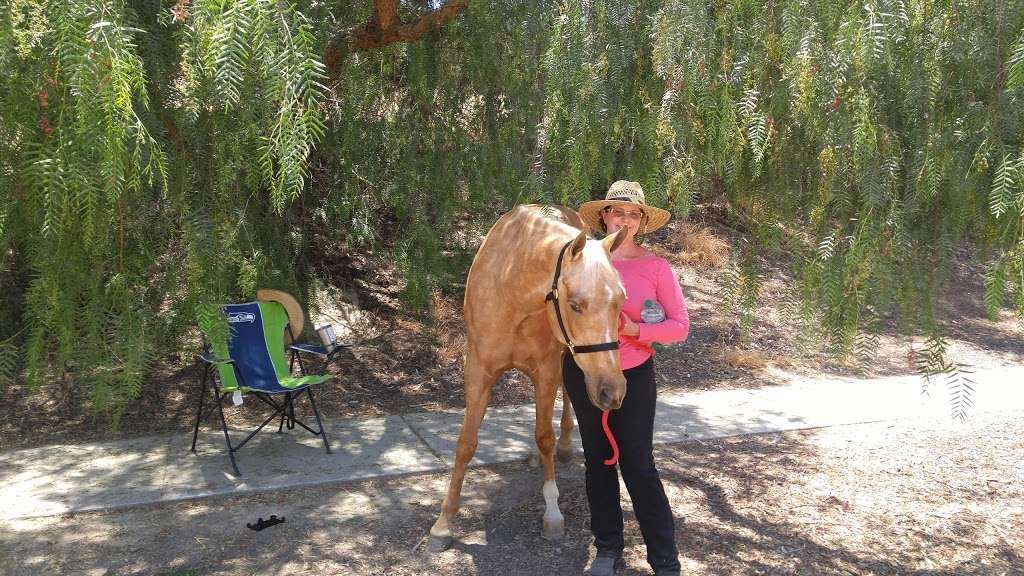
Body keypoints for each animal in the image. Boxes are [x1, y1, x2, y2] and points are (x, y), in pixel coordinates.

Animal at [425, 203, 630, 549]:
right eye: (574, 304)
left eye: (621, 299)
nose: (612, 391)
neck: (512, 289)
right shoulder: (477, 371)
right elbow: (466, 443)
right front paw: (443, 522)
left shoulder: (546, 370)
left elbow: (545, 436)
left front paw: (552, 512)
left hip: (568, 358)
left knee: (563, 405)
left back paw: (565, 445)